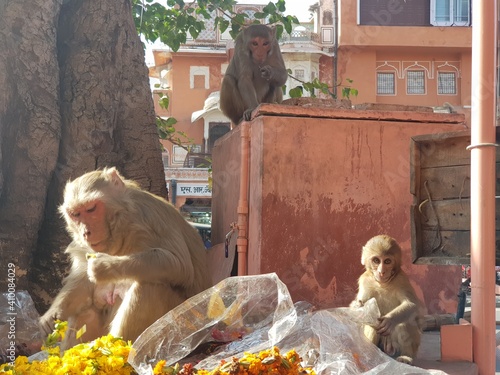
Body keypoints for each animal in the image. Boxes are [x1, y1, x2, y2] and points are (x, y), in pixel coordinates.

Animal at [39, 168, 211, 350]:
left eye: (91, 209)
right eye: (75, 214)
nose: (86, 232)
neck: (120, 226)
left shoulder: (150, 215)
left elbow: (179, 265)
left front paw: (104, 266)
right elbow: (82, 279)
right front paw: (53, 314)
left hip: (180, 322)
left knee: (150, 285)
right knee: (87, 309)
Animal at [350, 236, 424, 366]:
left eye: (387, 261)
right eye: (376, 260)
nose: (381, 271)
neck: (382, 284)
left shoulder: (401, 279)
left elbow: (412, 304)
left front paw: (389, 320)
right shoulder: (365, 280)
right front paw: (357, 306)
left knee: (405, 321)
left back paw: (406, 357)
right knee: (372, 325)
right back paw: (371, 356)